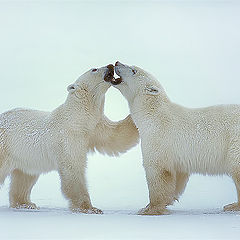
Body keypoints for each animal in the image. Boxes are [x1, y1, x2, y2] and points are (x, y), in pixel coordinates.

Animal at [0, 64, 139, 214]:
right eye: (94, 69)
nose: (110, 65)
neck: (78, 117)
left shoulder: (95, 127)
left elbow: (115, 137)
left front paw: (134, 117)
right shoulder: (69, 136)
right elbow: (73, 167)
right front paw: (89, 208)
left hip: (27, 156)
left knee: (24, 176)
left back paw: (25, 204)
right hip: (5, 146)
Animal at [109, 61, 240, 215]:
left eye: (133, 70)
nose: (117, 62)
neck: (152, 114)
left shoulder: (158, 137)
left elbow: (157, 170)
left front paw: (149, 209)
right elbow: (178, 176)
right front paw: (162, 202)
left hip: (234, 142)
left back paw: (232, 205)